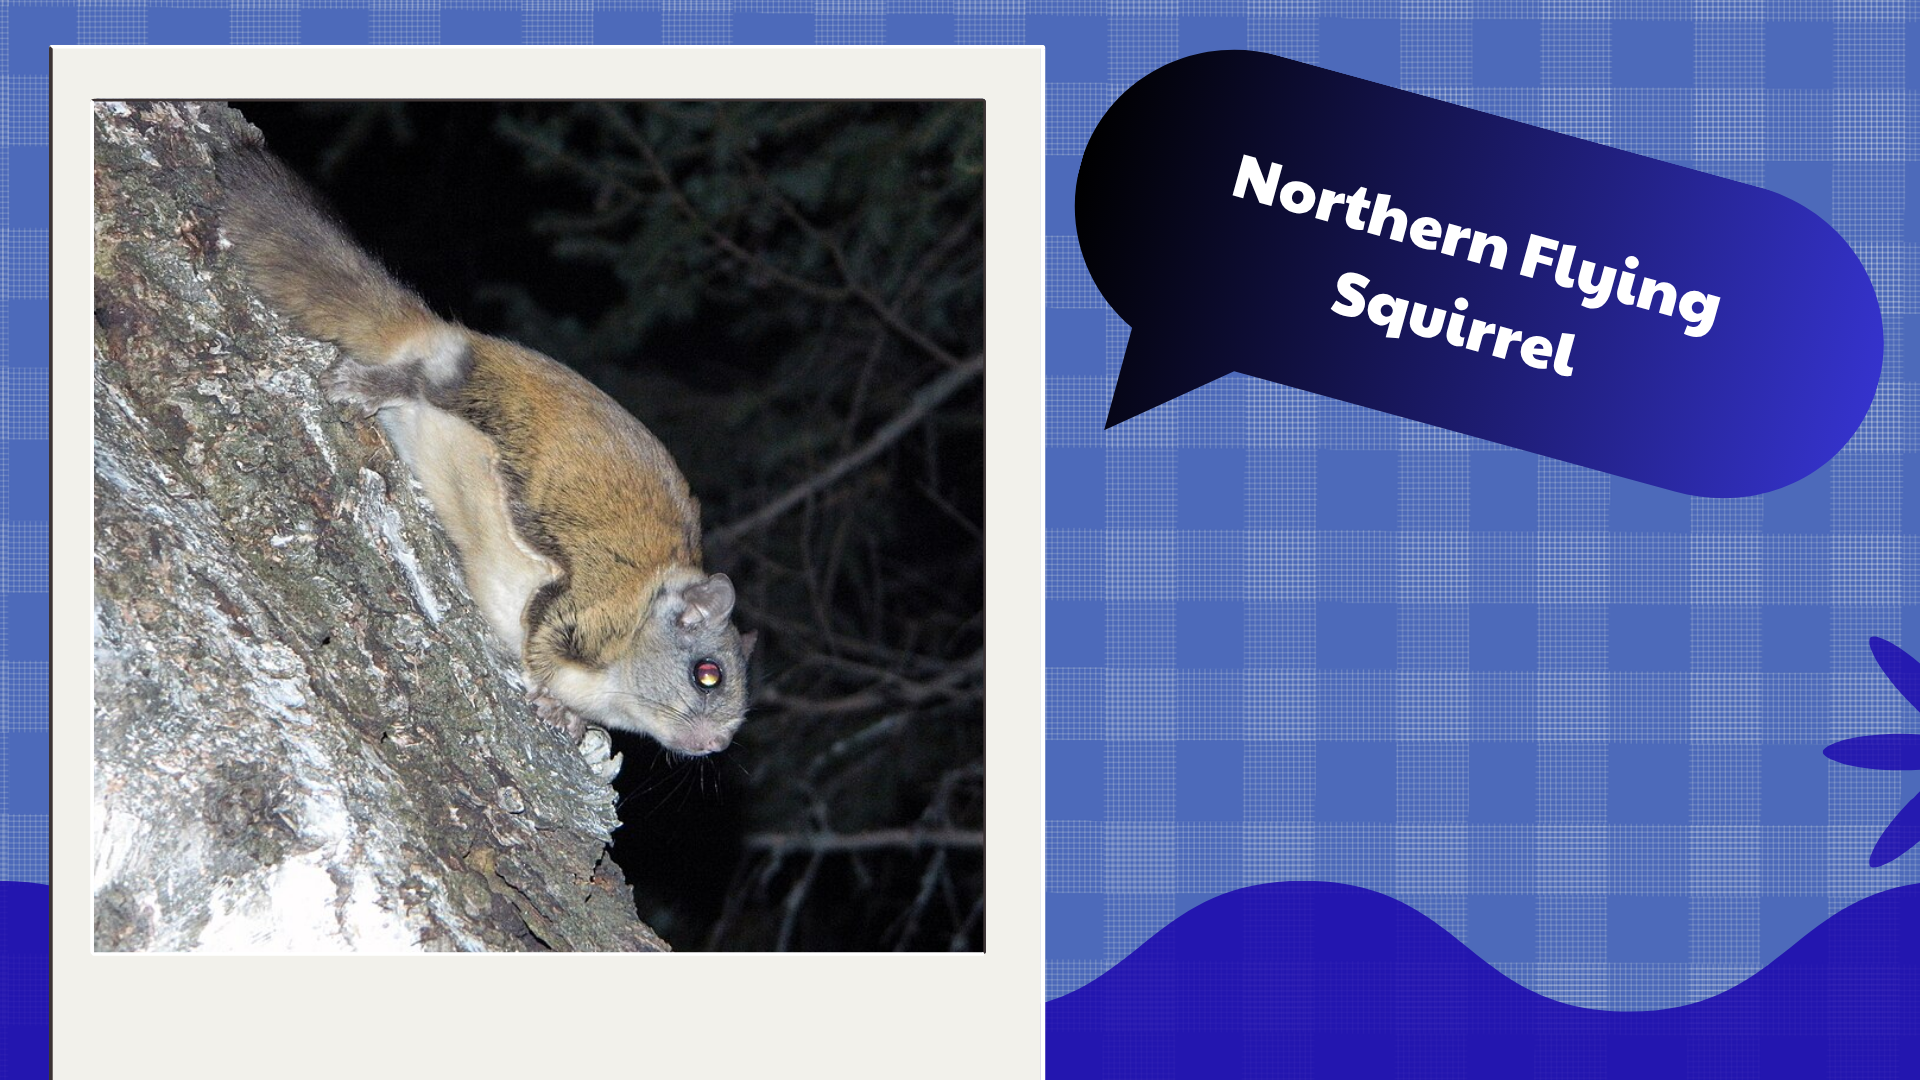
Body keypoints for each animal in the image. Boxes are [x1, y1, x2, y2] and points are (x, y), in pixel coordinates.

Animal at [215, 132, 755, 781]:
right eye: (708, 675)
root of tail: (446, 336)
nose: (717, 745)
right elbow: (539, 640)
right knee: (419, 382)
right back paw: (369, 385)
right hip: (476, 397)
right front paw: (551, 701)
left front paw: (575, 721)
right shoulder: (585, 608)